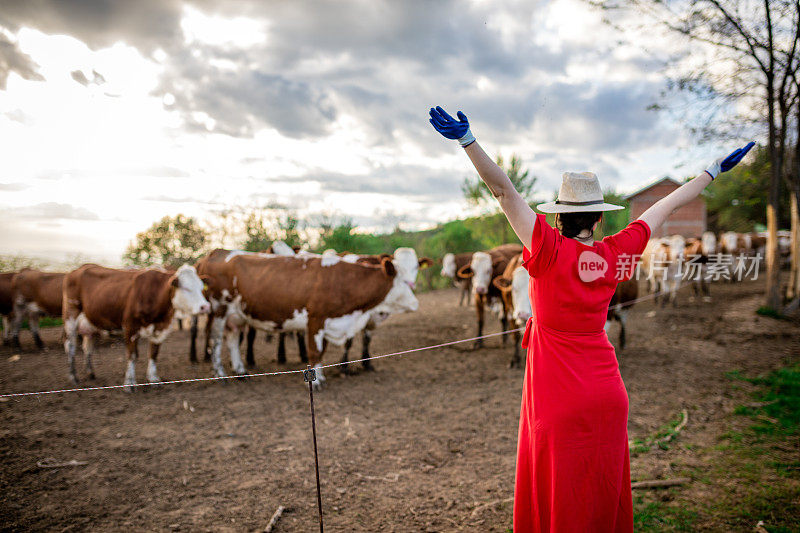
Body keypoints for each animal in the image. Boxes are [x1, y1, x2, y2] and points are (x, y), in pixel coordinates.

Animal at [63, 262, 209, 384]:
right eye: (186, 288)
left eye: (201, 287)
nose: (205, 306)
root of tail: (78, 269)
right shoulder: (130, 327)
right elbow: (132, 355)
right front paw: (130, 382)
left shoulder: (159, 329)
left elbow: (154, 353)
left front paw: (153, 377)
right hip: (70, 316)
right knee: (70, 346)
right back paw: (73, 377)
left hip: (91, 322)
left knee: (87, 347)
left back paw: (90, 373)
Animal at [203, 251, 418, 388]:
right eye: (402, 281)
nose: (416, 304)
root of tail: (217, 251)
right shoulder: (315, 319)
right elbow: (314, 352)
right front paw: (317, 383)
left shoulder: (328, 323)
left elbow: (321, 353)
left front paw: (320, 376)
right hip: (219, 310)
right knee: (215, 341)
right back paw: (220, 374)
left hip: (237, 315)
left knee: (232, 341)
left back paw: (241, 371)